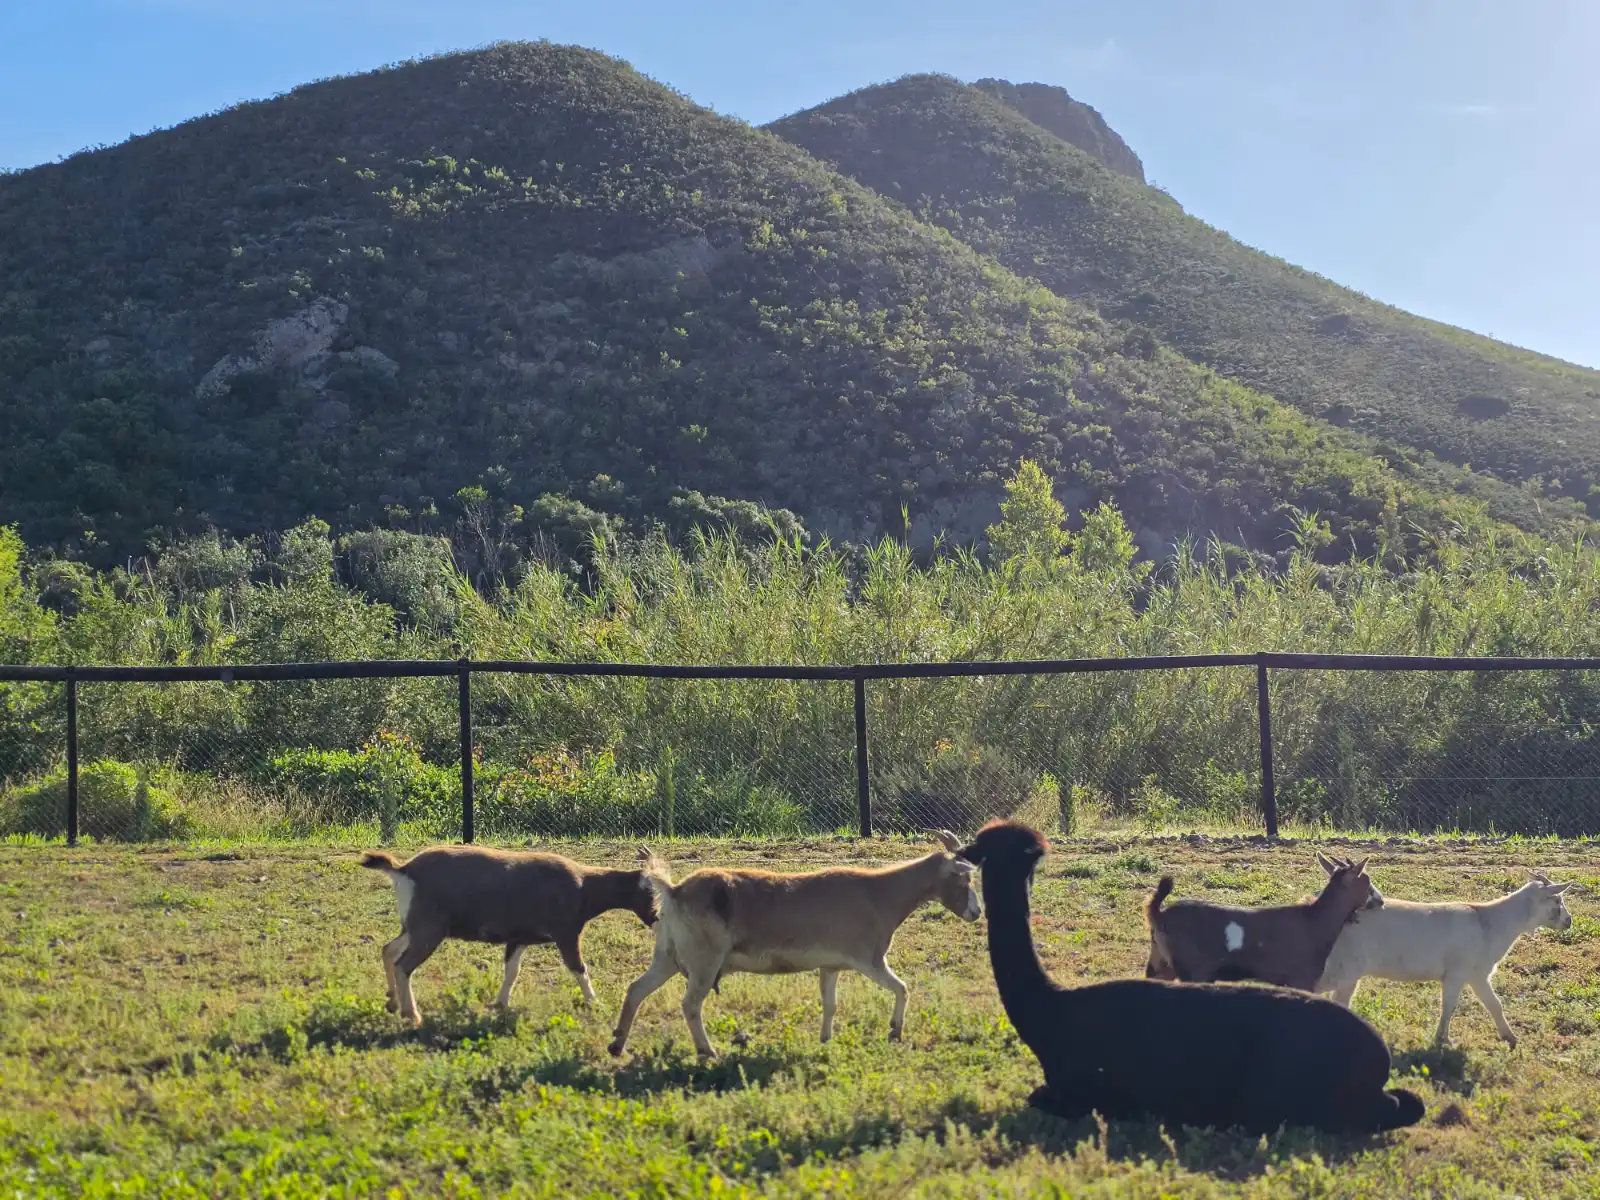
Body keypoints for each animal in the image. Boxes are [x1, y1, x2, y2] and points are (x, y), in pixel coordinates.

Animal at [361, 844, 658, 1026]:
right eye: (653, 892)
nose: (657, 919)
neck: (584, 887)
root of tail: (404, 869)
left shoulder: (519, 938)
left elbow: (511, 972)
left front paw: (500, 1004)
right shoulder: (566, 934)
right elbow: (579, 968)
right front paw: (595, 1003)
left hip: (413, 927)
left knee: (388, 950)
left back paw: (392, 1002)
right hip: (428, 929)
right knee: (403, 965)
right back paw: (411, 1014)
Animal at [607, 831, 981, 1058]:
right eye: (962, 876)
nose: (976, 912)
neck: (880, 894)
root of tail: (674, 891)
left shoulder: (831, 965)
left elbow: (830, 1004)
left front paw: (825, 1040)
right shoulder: (870, 960)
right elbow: (902, 988)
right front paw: (894, 1032)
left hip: (667, 956)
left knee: (636, 989)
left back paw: (617, 1044)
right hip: (703, 963)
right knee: (690, 1005)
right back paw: (707, 1052)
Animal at [1144, 852, 1382, 991]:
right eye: (1366, 881)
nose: (1379, 900)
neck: (1314, 920)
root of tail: (1159, 914)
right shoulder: (1301, 980)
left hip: (1160, 965)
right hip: (1195, 972)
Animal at [1315, 866, 1576, 1048]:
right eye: (1557, 899)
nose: (1569, 921)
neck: (1489, 922)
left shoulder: (1477, 975)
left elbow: (1494, 1004)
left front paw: (1510, 1037)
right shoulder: (1456, 974)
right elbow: (1449, 1005)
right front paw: (1444, 1040)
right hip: (1340, 967)